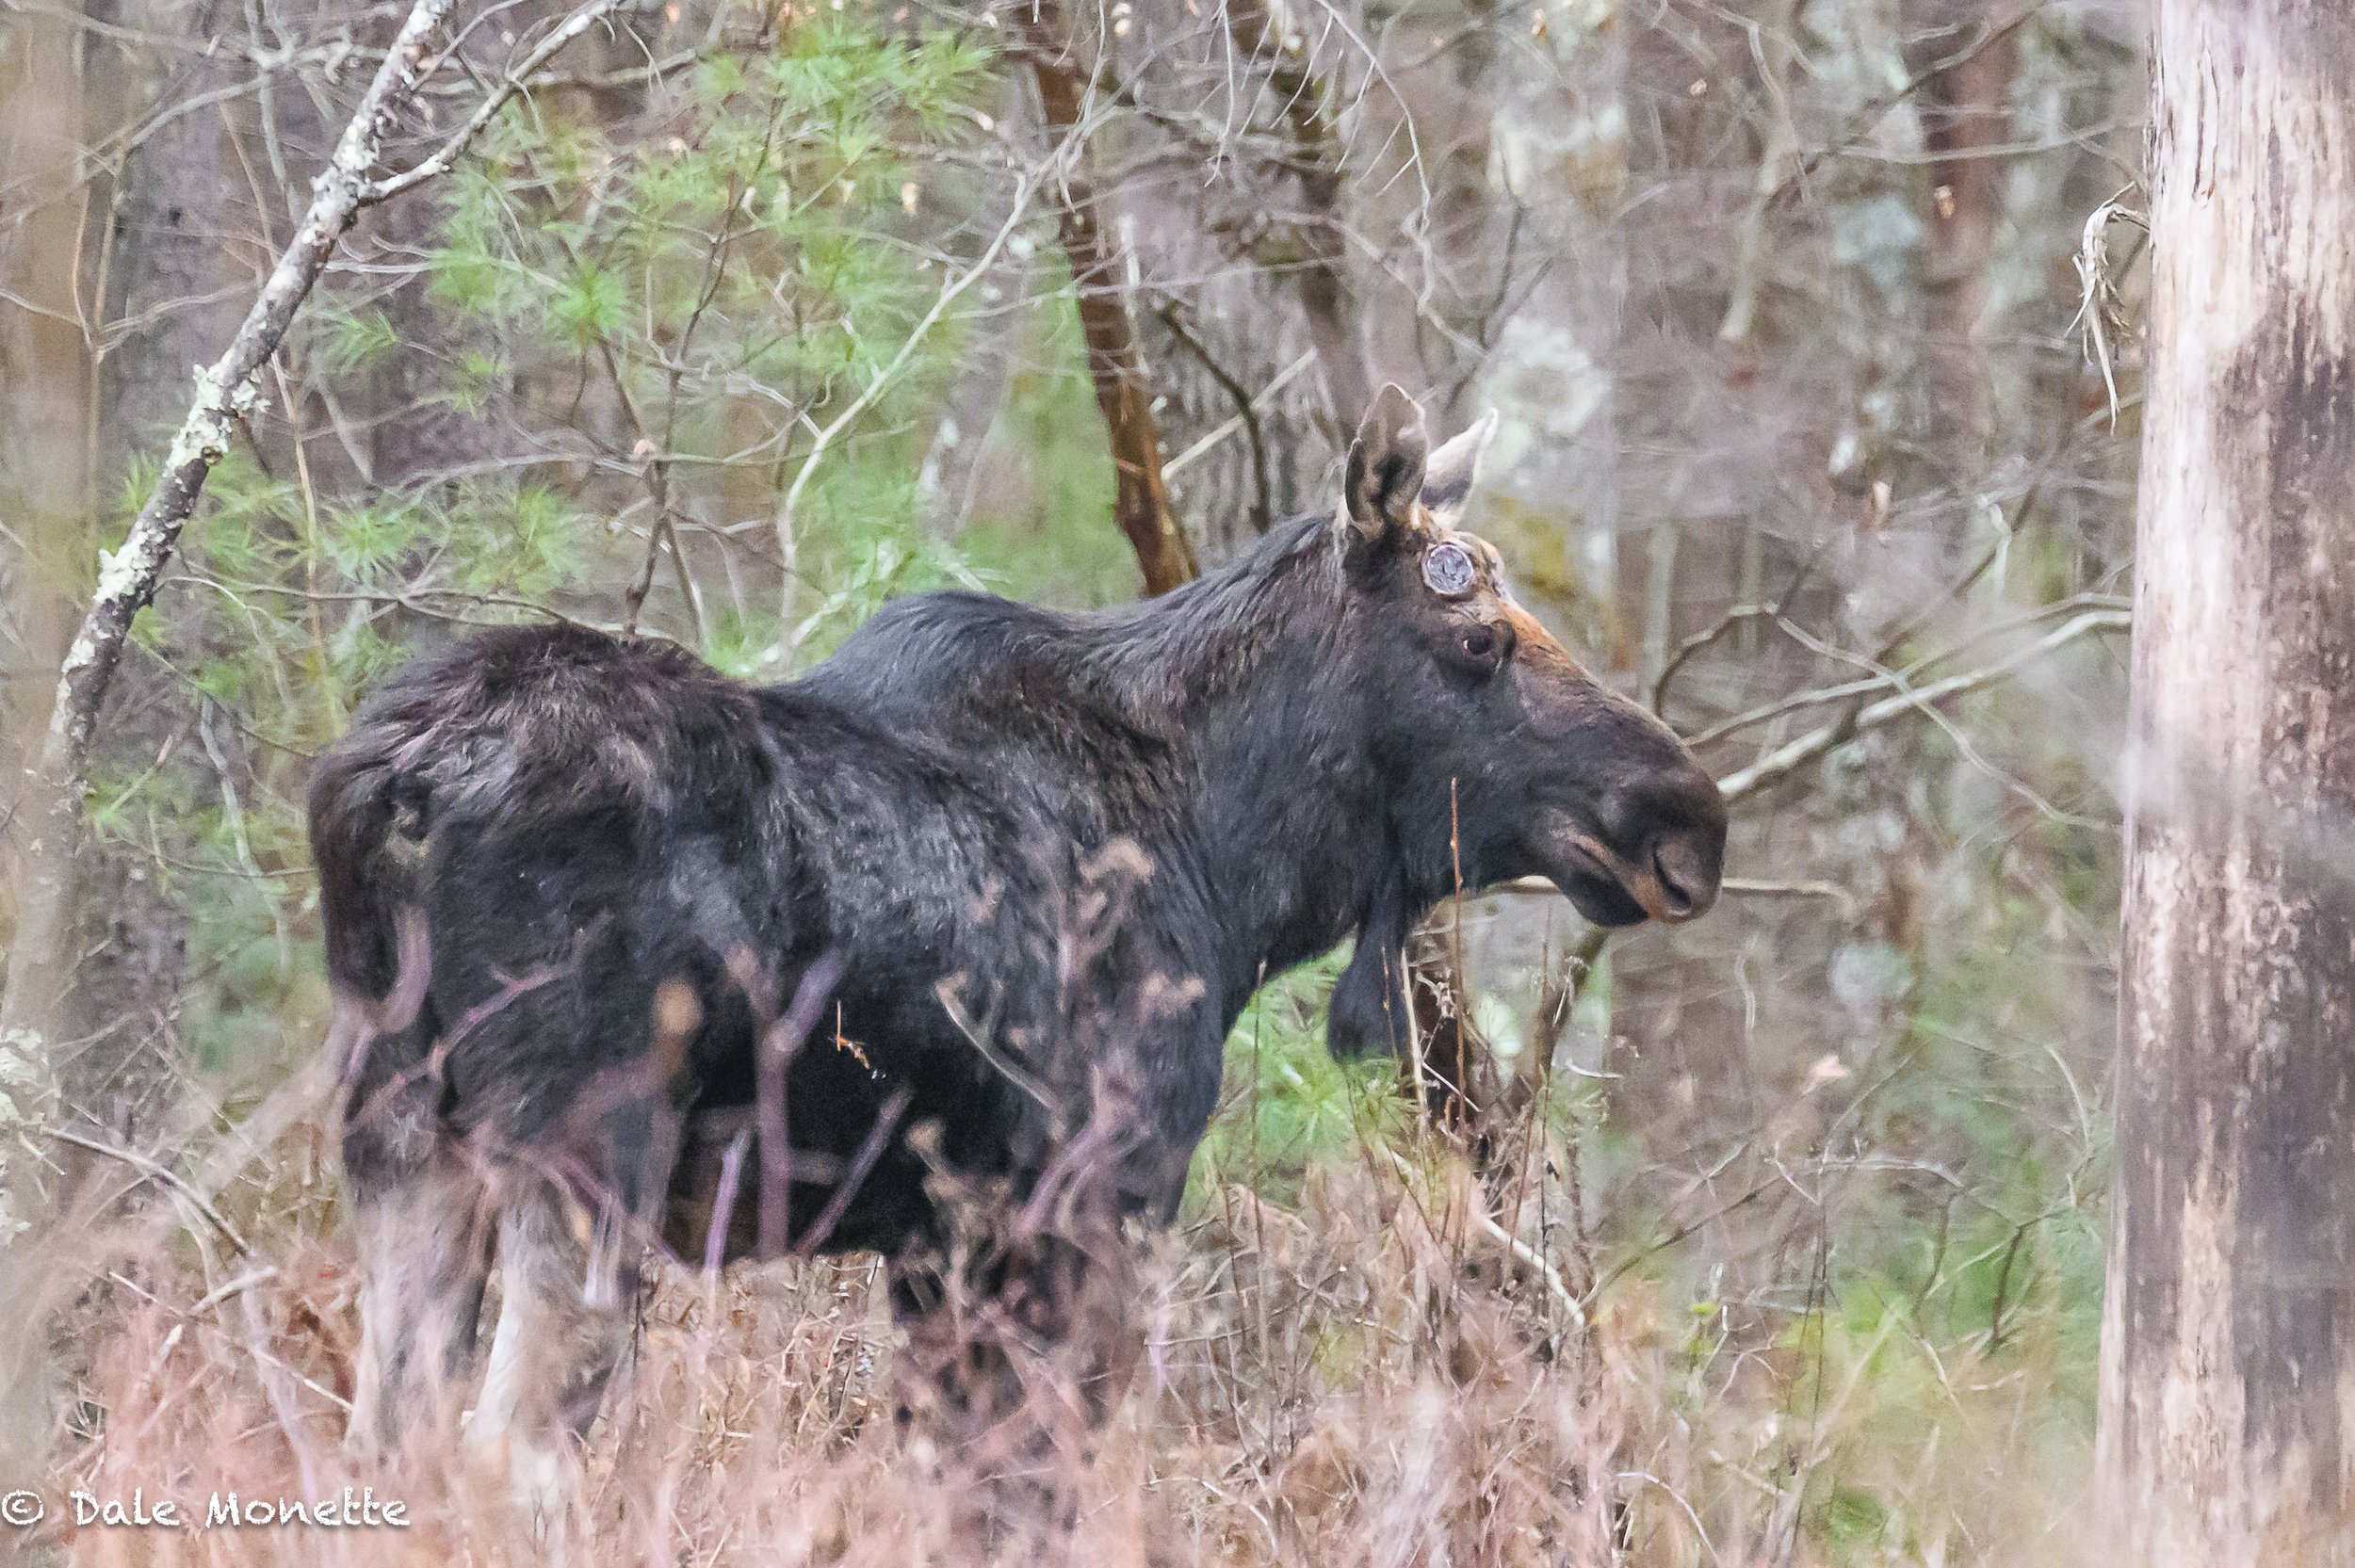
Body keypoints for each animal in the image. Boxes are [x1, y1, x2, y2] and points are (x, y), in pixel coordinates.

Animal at [313, 383, 1724, 1497]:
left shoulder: (941, 1244)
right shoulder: (1085, 1208)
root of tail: (392, 786)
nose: (1688, 817)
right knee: (505, 1459)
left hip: (401, 1137)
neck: (1236, 865)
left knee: (388, 1439)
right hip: (581, 1148)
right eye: (1479, 640)